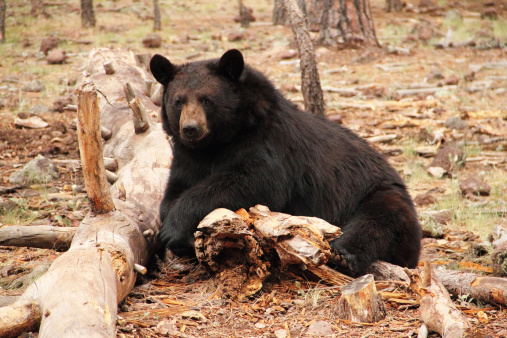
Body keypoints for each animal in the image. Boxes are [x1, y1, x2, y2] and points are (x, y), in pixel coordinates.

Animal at [152, 50, 424, 278]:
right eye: (178, 101)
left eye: (207, 100)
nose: (190, 129)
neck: (219, 143)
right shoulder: (188, 157)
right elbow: (175, 188)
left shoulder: (268, 144)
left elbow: (252, 183)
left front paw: (174, 230)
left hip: (377, 194)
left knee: (377, 221)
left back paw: (342, 255)